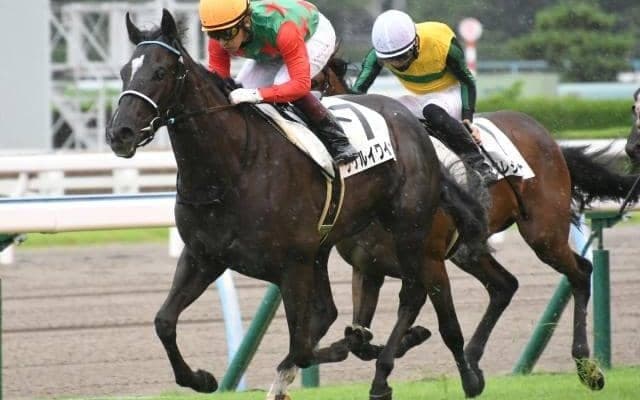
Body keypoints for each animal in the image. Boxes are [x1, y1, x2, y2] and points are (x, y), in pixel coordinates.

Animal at [105, 10, 490, 400]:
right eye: (123, 72)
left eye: (160, 72)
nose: (119, 133)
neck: (233, 168)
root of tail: (409, 118)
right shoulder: (204, 256)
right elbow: (164, 322)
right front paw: (202, 378)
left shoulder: (293, 265)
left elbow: (303, 347)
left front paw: (357, 344)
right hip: (325, 250)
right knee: (336, 311)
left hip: (409, 228)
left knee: (412, 293)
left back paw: (389, 372)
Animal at [312, 55, 640, 393]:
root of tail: (549, 139)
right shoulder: (367, 267)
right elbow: (359, 339)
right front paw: (406, 344)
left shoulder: (428, 264)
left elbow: (447, 327)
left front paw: (463, 378)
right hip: (468, 250)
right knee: (505, 285)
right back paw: (475, 357)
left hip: (544, 233)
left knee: (580, 273)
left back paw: (587, 366)